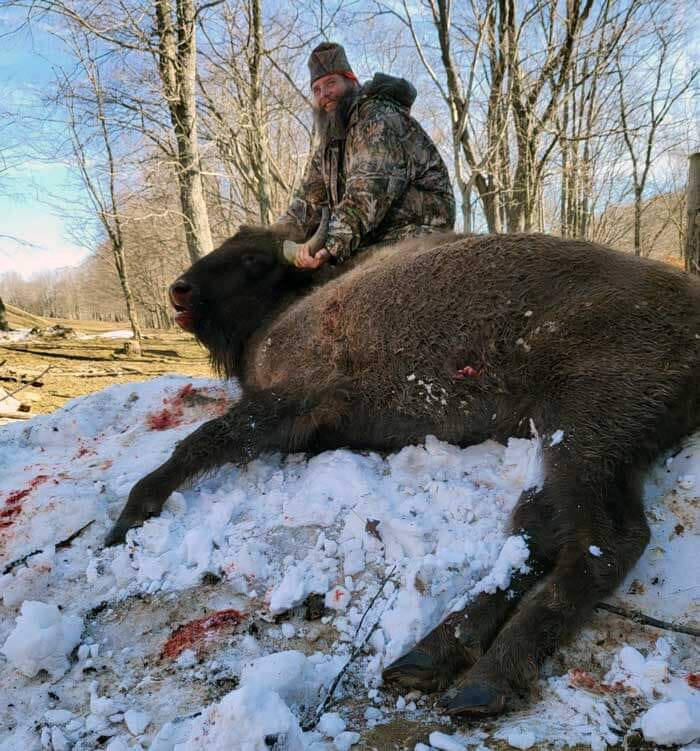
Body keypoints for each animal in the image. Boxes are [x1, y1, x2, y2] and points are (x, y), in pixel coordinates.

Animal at [104, 226, 700, 720]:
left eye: (253, 259)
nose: (180, 291)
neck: (293, 304)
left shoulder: (292, 401)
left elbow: (201, 442)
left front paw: (126, 519)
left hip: (582, 430)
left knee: (605, 542)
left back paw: (483, 682)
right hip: (560, 443)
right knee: (536, 534)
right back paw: (427, 656)